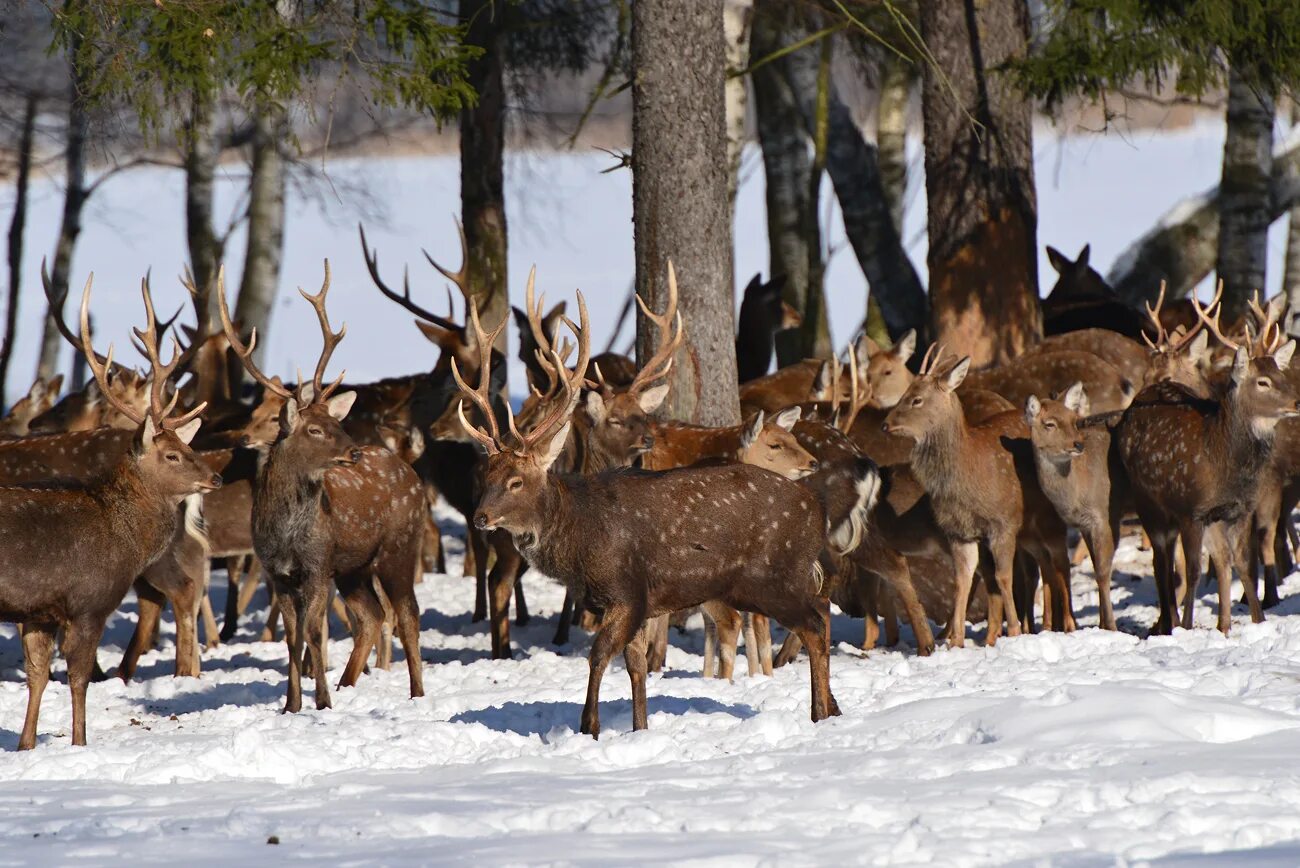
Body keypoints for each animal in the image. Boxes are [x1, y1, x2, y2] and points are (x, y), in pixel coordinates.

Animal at [0, 274, 218, 748]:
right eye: (172, 454)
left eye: (189, 444)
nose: (215, 478)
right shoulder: (89, 600)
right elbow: (77, 678)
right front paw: (80, 742)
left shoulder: (38, 609)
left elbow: (37, 676)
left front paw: (26, 745)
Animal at [218, 261, 426, 706]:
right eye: (314, 429)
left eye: (337, 421)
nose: (355, 453)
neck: (286, 534)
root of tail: (409, 469)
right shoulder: (278, 572)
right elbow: (292, 638)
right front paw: (292, 705)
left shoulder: (317, 565)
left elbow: (313, 631)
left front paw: (322, 702)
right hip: (354, 567)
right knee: (371, 616)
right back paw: (348, 682)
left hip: (400, 547)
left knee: (407, 613)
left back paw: (416, 692)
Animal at [457, 279, 842, 738]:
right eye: (487, 475)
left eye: (516, 481)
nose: (480, 517)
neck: (580, 543)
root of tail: (818, 509)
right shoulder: (634, 604)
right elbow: (636, 664)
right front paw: (638, 727)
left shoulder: (628, 591)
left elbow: (599, 654)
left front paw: (589, 727)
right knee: (820, 612)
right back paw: (832, 707)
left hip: (774, 575)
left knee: (815, 622)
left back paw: (821, 713)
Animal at [1118, 294, 1300, 634]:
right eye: (1263, 382)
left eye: (1281, 377)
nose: (1296, 401)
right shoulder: (1193, 510)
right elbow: (1193, 569)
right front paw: (1189, 625)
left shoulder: (1236, 509)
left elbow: (1239, 561)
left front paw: (1255, 619)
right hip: (1148, 502)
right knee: (1162, 561)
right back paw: (1169, 623)